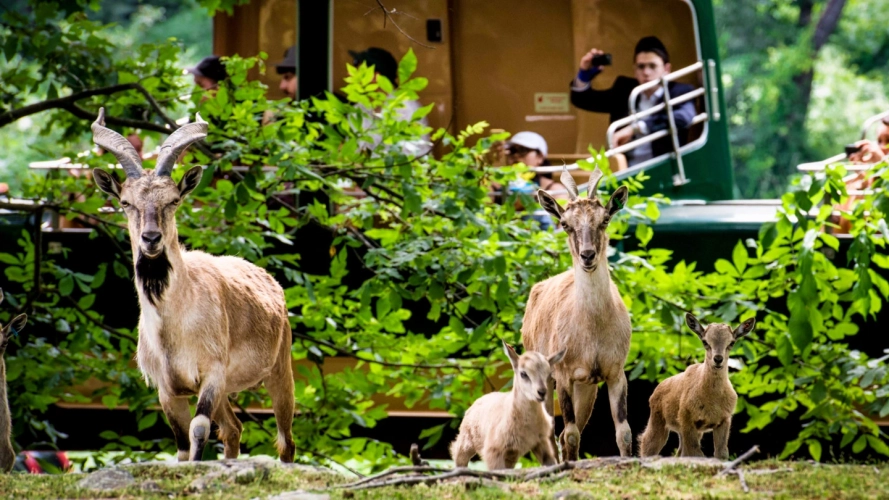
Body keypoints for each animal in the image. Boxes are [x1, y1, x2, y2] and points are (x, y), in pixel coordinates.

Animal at [93, 108, 294, 460]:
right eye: (125, 202)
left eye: (173, 200)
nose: (151, 238)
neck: (172, 326)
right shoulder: (168, 389)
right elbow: (182, 445)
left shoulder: (211, 372)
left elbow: (199, 429)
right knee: (233, 429)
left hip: (280, 369)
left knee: (285, 440)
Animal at [448, 342, 564, 470]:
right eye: (523, 374)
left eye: (548, 374)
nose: (542, 392)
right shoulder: (493, 451)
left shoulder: (541, 442)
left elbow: (551, 463)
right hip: (466, 441)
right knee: (458, 455)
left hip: (511, 455)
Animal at [520, 167, 632, 460]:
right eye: (565, 224)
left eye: (605, 219)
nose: (587, 255)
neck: (592, 329)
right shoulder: (563, 375)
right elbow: (570, 433)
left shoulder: (614, 372)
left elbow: (624, 432)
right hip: (546, 380)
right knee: (551, 432)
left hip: (587, 386)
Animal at [640, 314, 752, 458]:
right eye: (705, 342)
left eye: (731, 342)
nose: (718, 359)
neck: (712, 402)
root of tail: (655, 392)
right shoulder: (687, 418)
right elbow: (695, 453)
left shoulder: (724, 420)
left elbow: (721, 453)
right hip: (658, 419)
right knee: (647, 443)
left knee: (679, 452)